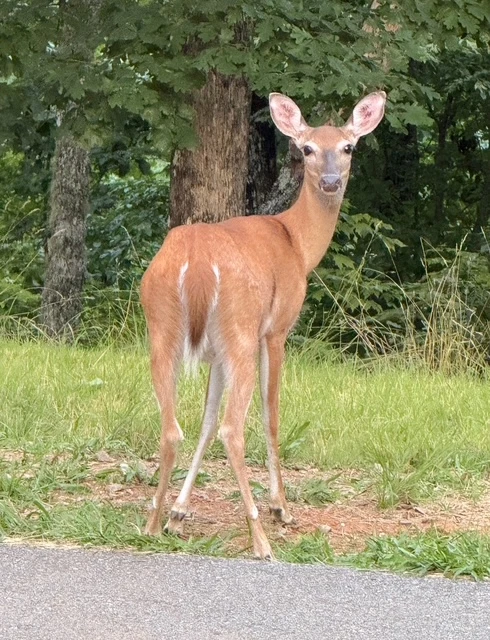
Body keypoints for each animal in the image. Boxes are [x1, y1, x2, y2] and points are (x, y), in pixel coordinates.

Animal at [141, 90, 386, 559]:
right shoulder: (276, 330)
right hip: (240, 330)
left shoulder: (215, 353)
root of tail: (197, 261)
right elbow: (271, 415)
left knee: (173, 427)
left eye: (348, 147)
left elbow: (205, 420)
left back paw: (152, 523)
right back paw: (260, 537)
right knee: (233, 429)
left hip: (162, 328)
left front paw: (179, 512)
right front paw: (281, 507)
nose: (331, 181)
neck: (298, 244)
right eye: (307, 148)